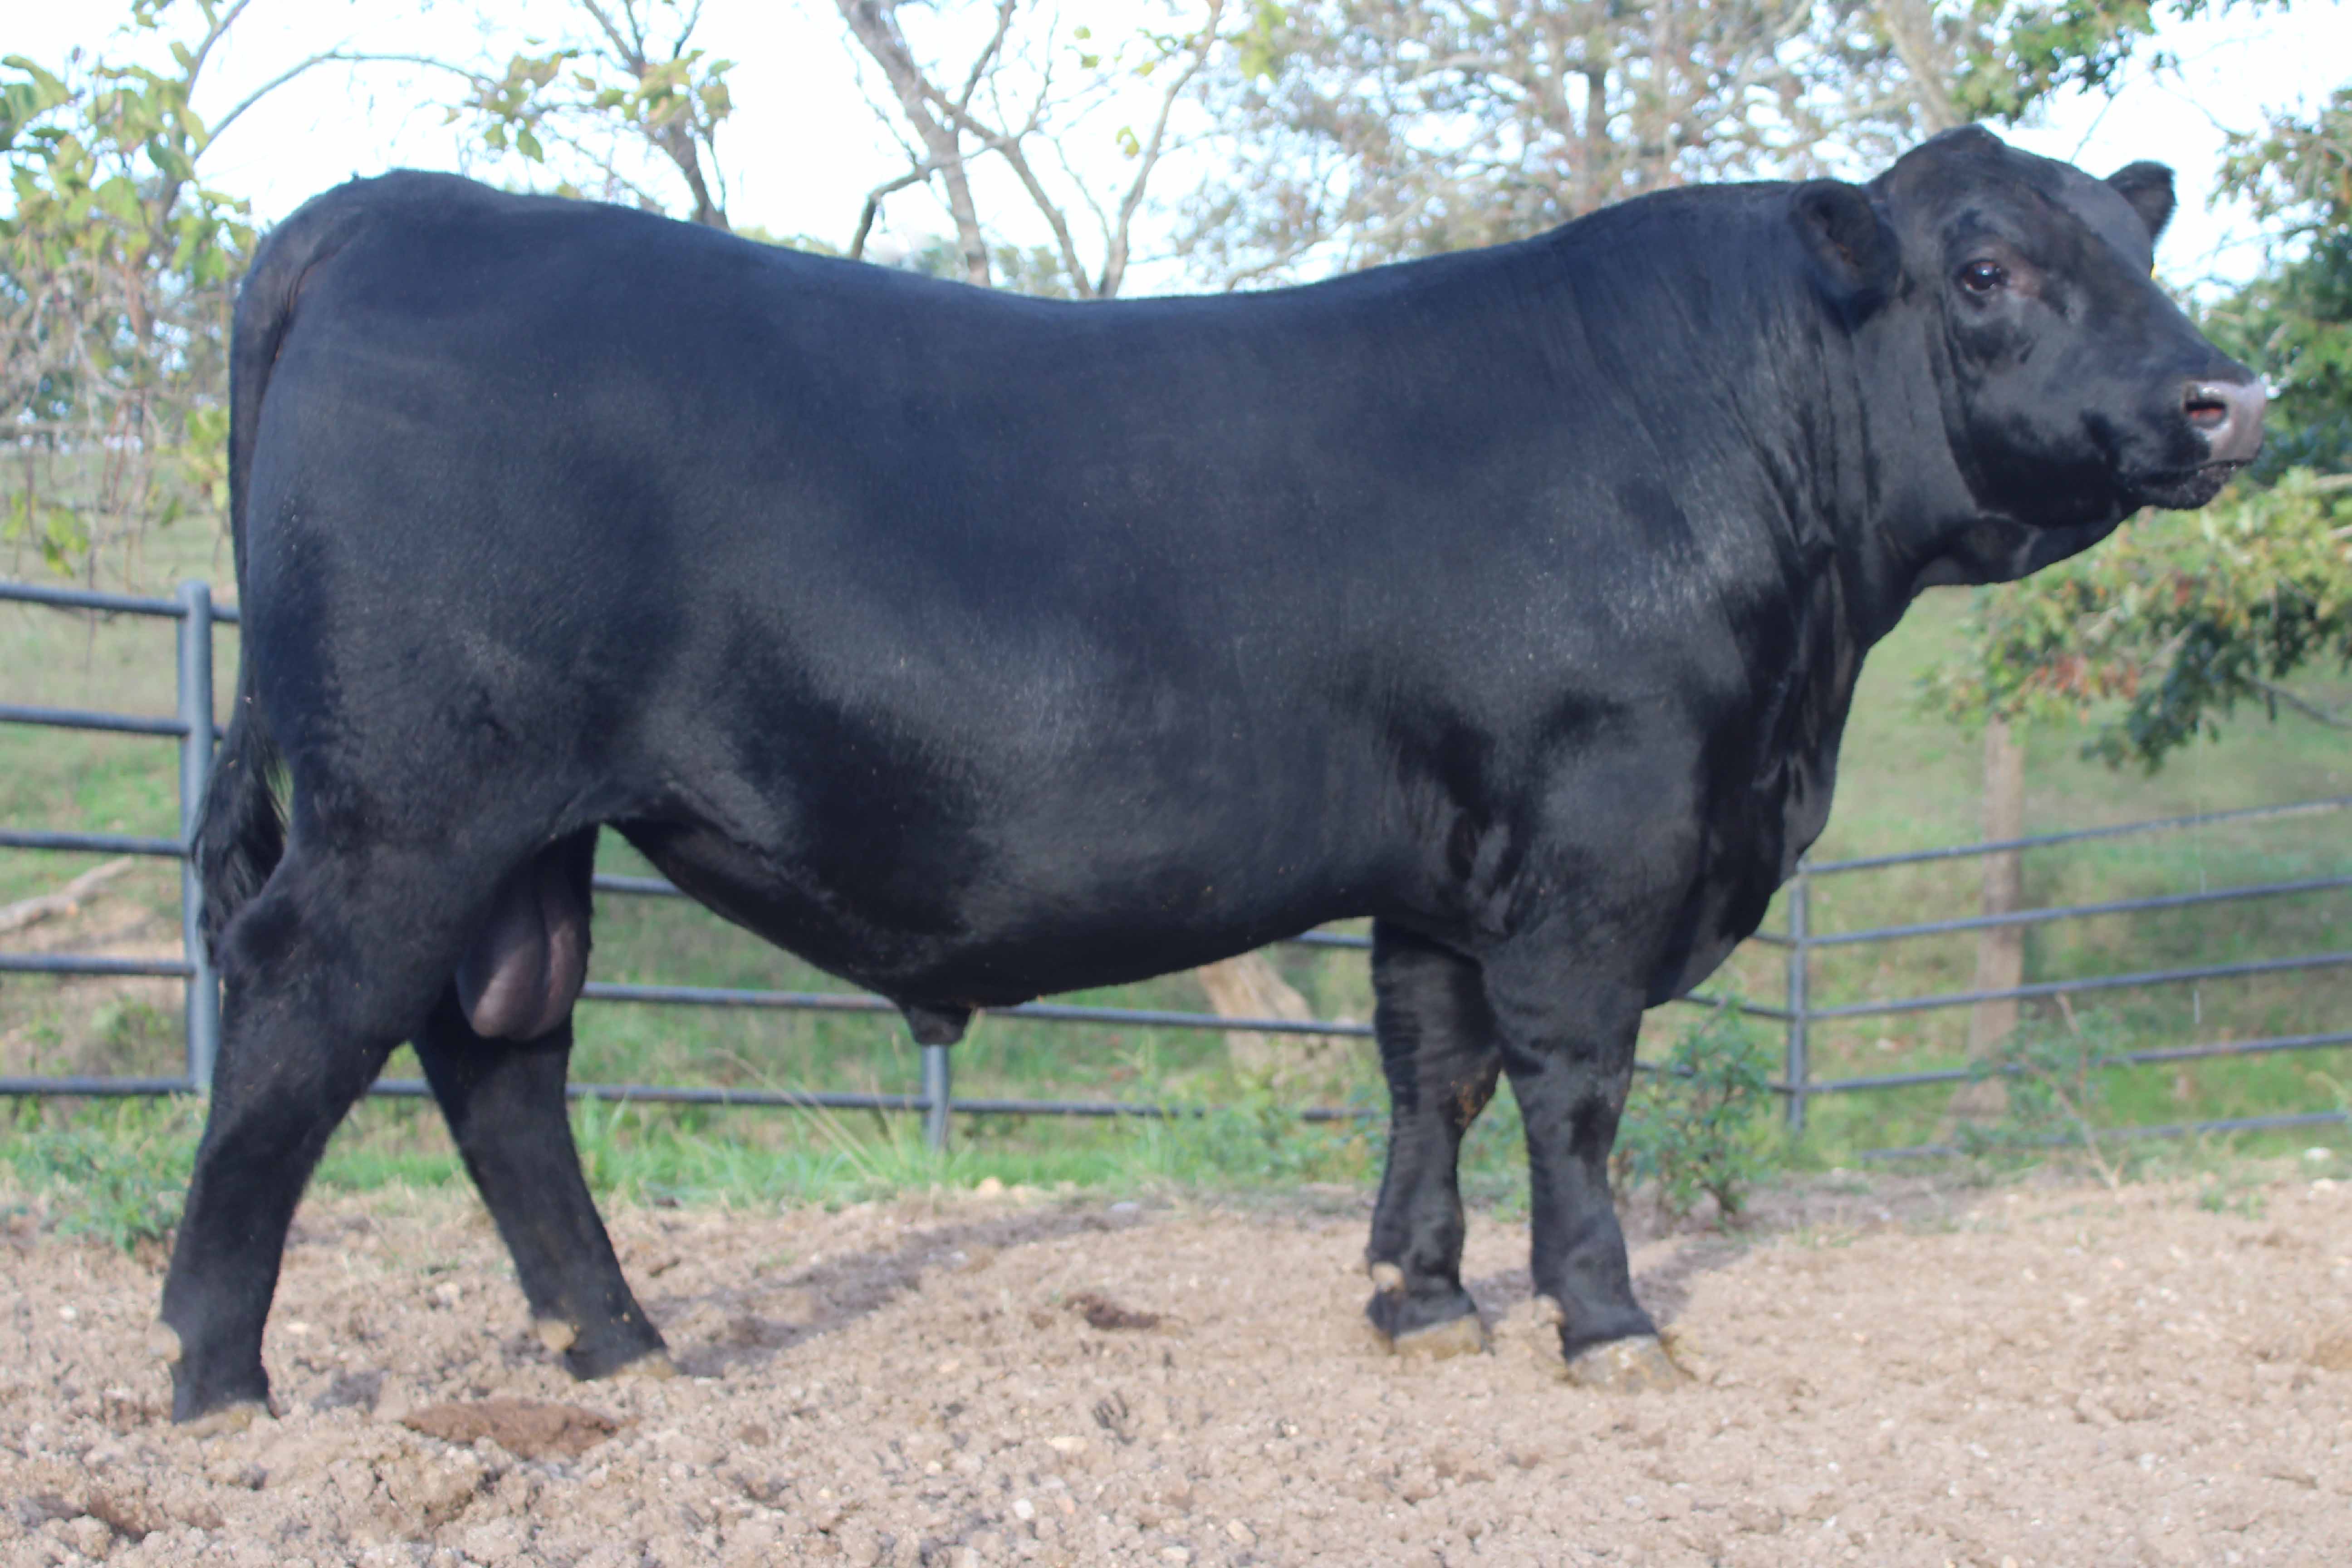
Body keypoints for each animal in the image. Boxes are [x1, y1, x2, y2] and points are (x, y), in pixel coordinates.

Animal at [156, 125, 2262, 1426]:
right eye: (1985, 266)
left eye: (2138, 245)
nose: (2226, 395)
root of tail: (390, 211)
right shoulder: (1601, 840)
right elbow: (1574, 1093)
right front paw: (1606, 1324)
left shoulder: (1445, 863)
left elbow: (1432, 1072)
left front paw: (1421, 1302)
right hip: (412, 803)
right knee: (302, 1011)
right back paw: (219, 1380)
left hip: (521, 828)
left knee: (500, 1053)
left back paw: (617, 1343)